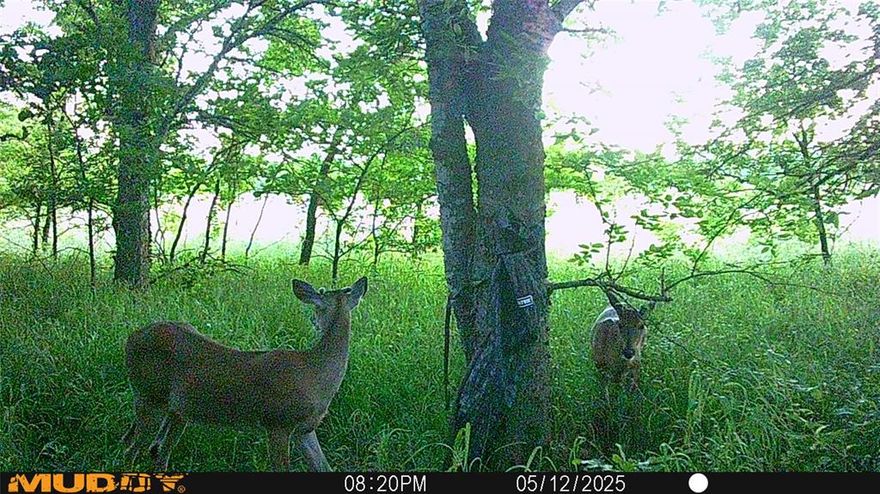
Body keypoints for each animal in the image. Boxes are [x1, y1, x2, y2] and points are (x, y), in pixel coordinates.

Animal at [120, 276, 368, 472]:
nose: (313, 321)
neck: (314, 374)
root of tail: (131, 337)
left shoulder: (305, 429)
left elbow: (324, 467)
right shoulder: (277, 422)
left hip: (178, 410)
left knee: (155, 449)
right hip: (149, 395)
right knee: (131, 449)